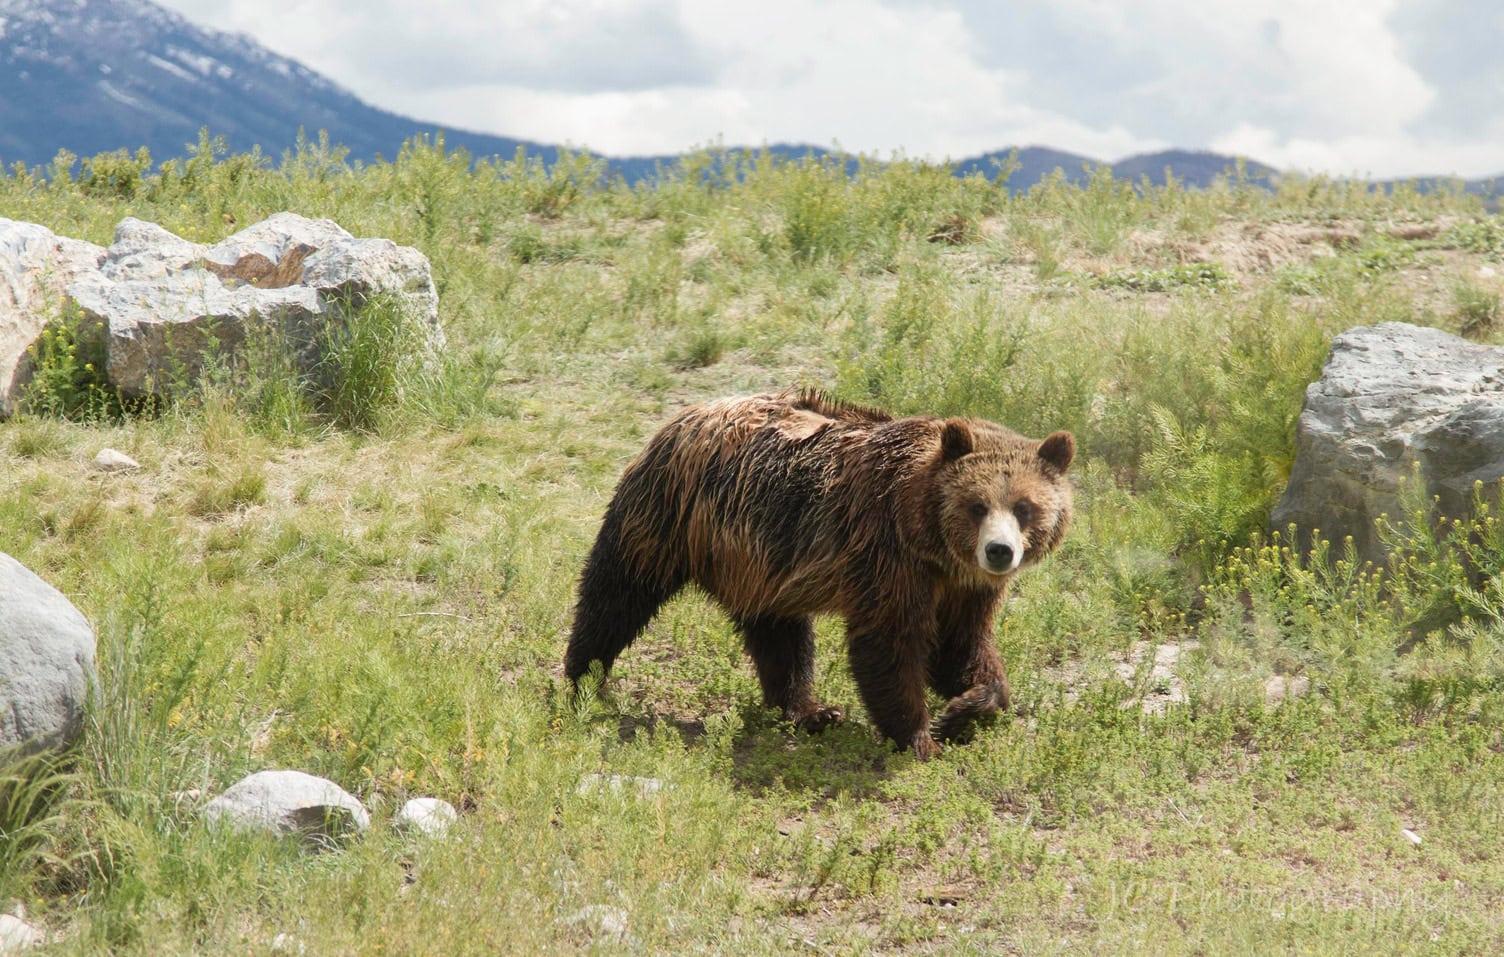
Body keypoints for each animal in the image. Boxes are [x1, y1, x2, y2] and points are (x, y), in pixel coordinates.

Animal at [564, 389, 1075, 759]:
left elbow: (960, 647)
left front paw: (965, 709)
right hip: (671, 514)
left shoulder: (964, 586)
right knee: (618, 593)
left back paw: (809, 710)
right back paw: (583, 680)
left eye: (1024, 507)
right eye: (977, 505)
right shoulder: (886, 553)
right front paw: (919, 737)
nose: (999, 551)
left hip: (759, 559)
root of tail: (684, 415)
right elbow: (890, 641)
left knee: (779, 636)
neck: (929, 540)